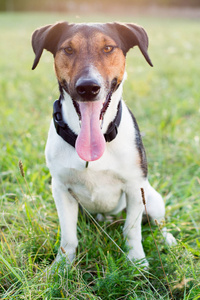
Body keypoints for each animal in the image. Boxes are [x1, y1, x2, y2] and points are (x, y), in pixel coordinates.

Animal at [30, 21, 175, 266]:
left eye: (108, 48)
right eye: (68, 49)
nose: (88, 87)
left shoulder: (135, 187)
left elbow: (132, 230)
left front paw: (137, 263)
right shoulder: (61, 189)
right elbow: (68, 237)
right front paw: (62, 267)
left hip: (152, 198)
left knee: (158, 222)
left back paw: (169, 240)